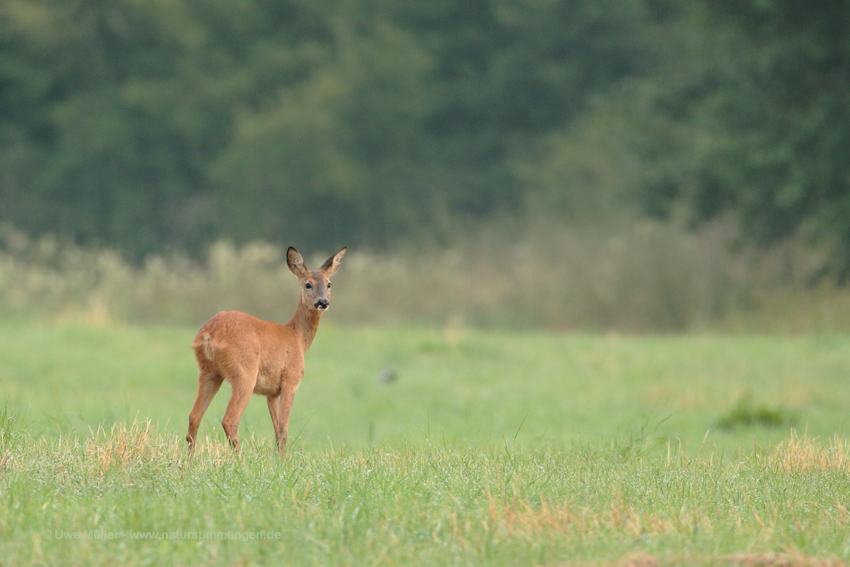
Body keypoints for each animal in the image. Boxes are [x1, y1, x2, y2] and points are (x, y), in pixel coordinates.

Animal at [186, 246, 344, 454]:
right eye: (308, 284)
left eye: (329, 284)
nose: (323, 302)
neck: (298, 337)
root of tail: (208, 335)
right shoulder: (290, 379)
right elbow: (284, 429)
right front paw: (284, 460)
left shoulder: (271, 393)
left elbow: (277, 431)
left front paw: (278, 458)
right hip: (245, 373)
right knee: (229, 420)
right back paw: (241, 458)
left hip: (209, 372)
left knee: (194, 417)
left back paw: (189, 460)